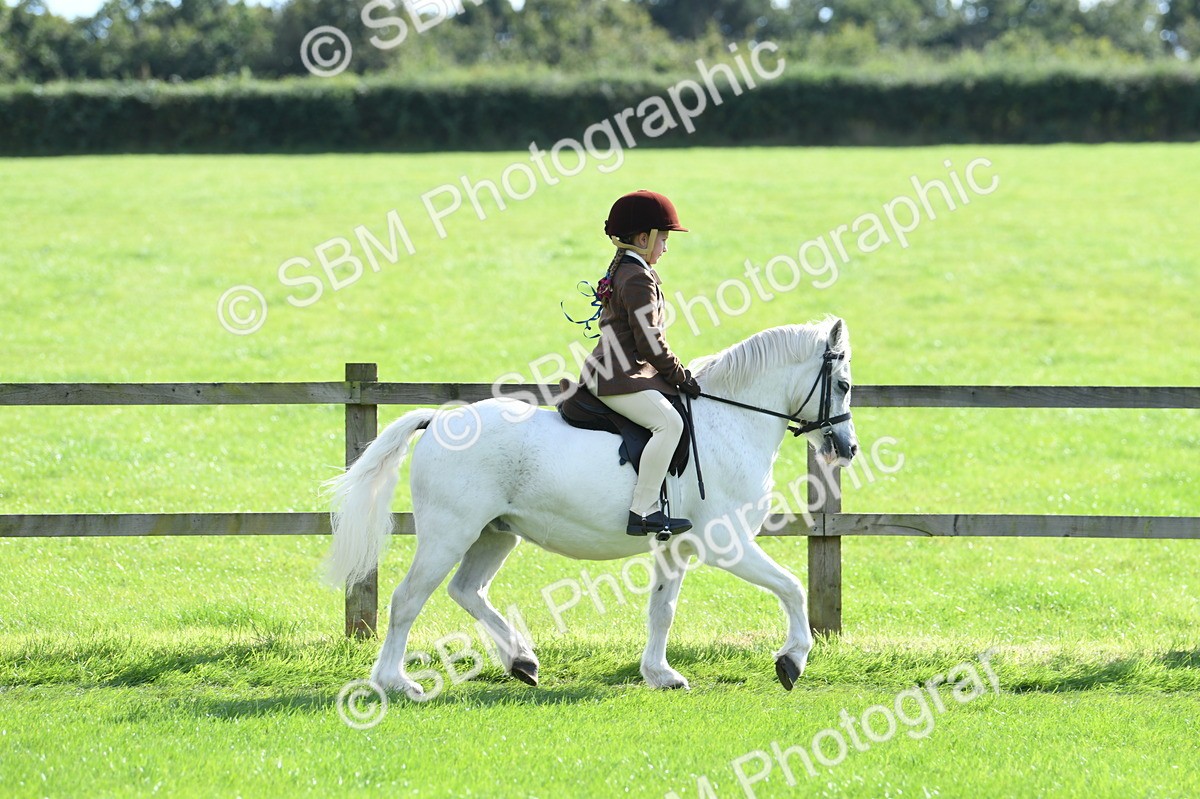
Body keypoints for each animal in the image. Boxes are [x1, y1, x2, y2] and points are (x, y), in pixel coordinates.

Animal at [327, 317, 857, 698]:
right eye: (845, 385)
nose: (848, 449)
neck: (728, 422)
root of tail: (439, 420)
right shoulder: (726, 543)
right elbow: (791, 588)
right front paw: (791, 661)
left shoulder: (676, 548)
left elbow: (662, 609)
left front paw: (661, 675)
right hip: (448, 534)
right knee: (407, 600)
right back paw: (396, 683)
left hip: (495, 533)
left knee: (467, 590)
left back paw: (522, 661)